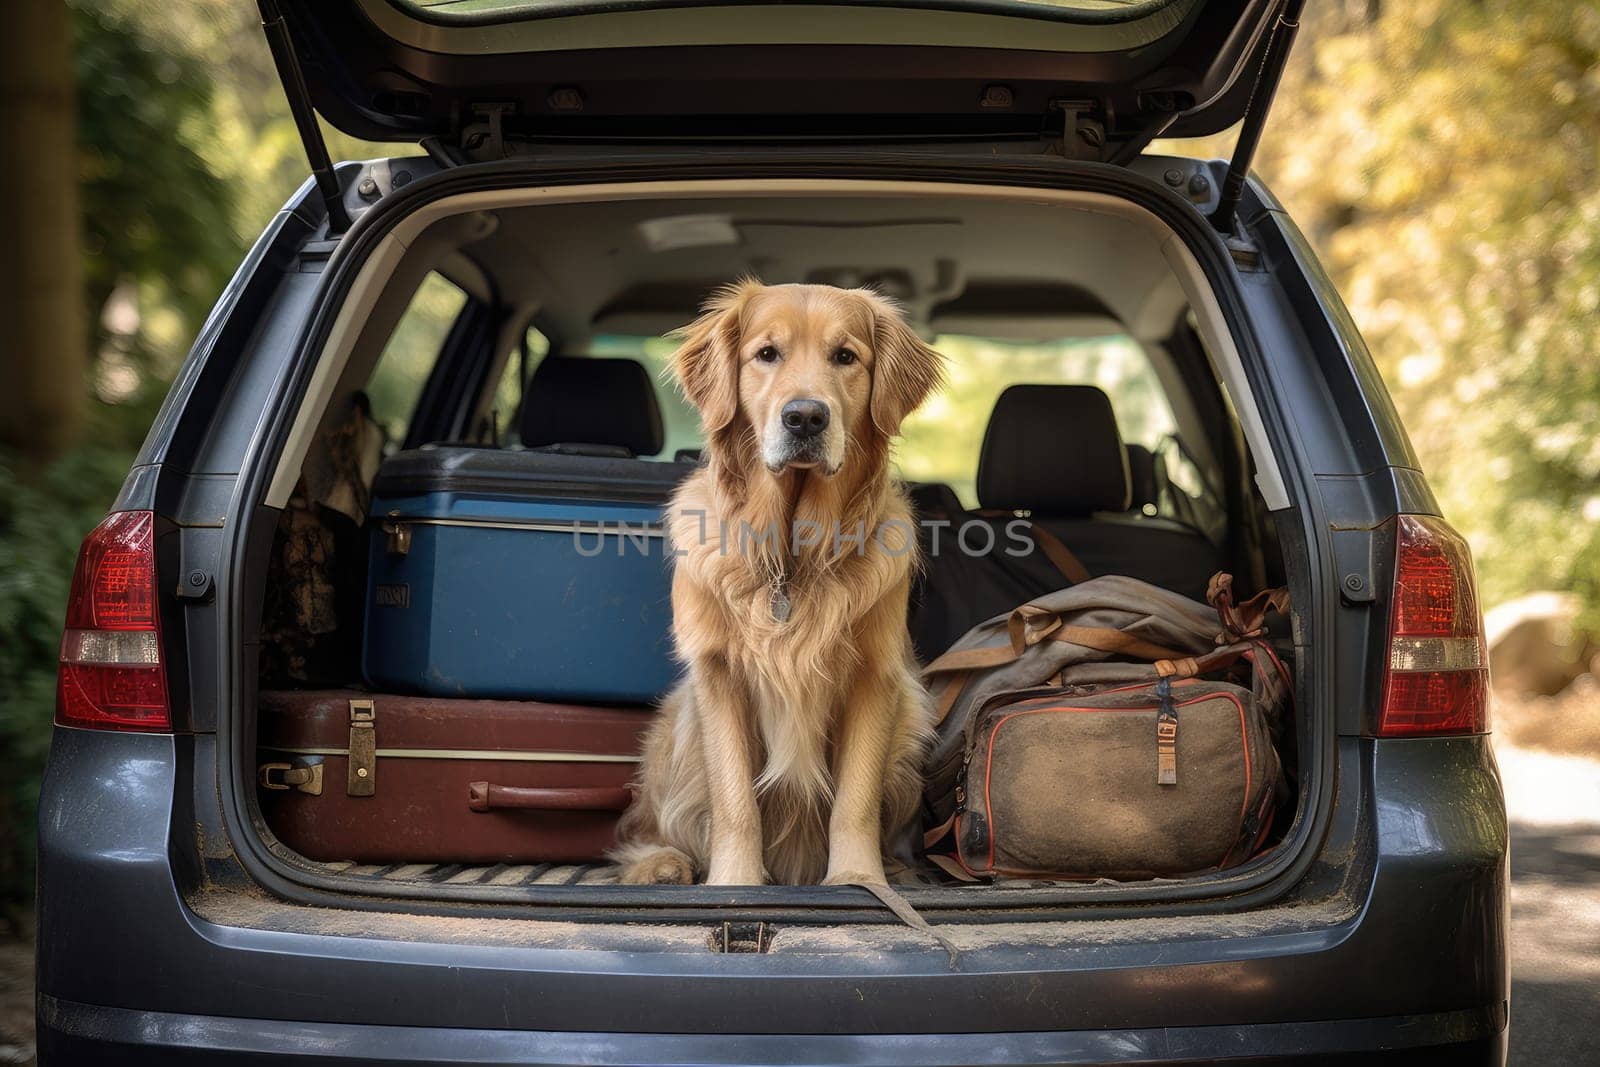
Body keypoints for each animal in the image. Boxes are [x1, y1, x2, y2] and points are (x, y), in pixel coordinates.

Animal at [608, 279, 934, 889]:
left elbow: (855, 800)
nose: (805, 417)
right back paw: (661, 865)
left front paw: (858, 878)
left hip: (909, 723)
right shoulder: (717, 673)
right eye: (766, 354)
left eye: (845, 356)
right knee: (647, 827)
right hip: (676, 730)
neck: (792, 556)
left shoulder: (876, 676)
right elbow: (735, 801)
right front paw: (734, 884)